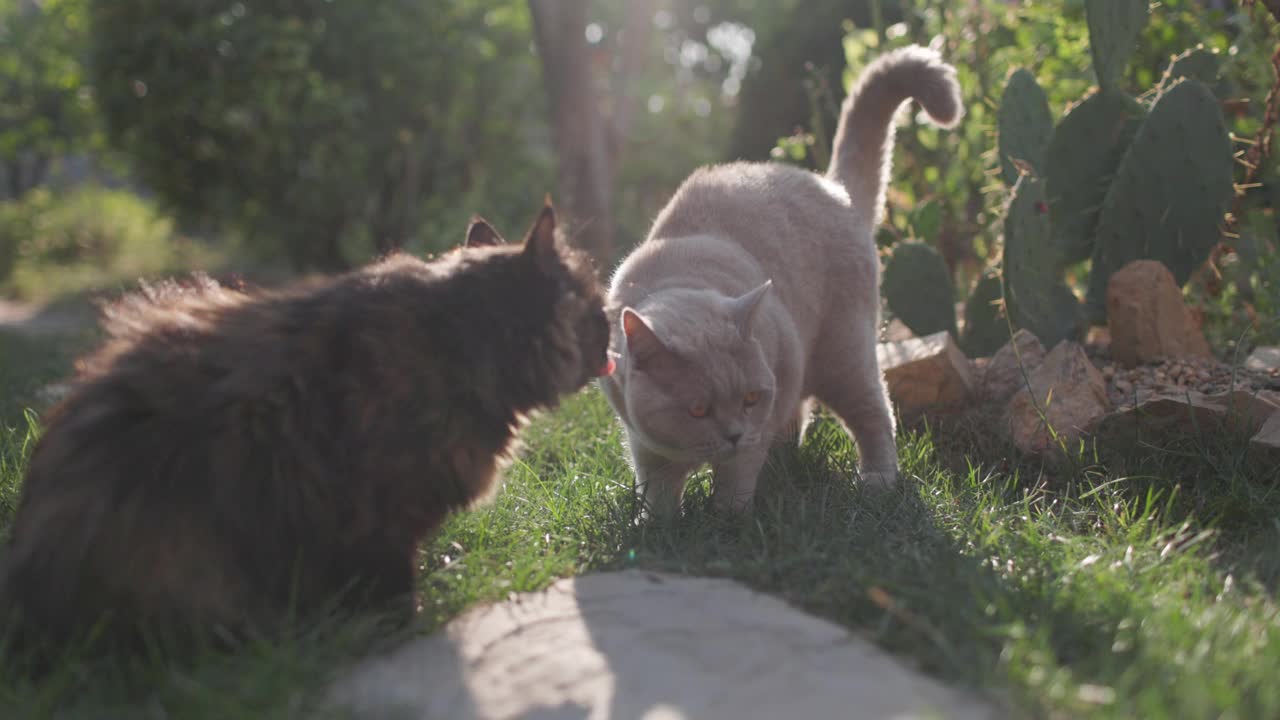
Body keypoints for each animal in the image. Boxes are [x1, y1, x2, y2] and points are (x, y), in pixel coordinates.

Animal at [0, 199, 609, 655]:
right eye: (595, 311)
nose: (610, 333)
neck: (461, 343)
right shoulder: (378, 517)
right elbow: (392, 586)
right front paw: (404, 624)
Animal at [599, 44, 962, 512]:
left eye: (750, 399)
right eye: (697, 410)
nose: (734, 434)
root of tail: (833, 187)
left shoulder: (754, 432)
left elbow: (735, 483)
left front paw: (726, 519)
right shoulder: (644, 444)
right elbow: (657, 489)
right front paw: (656, 524)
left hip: (844, 356)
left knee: (875, 415)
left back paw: (877, 482)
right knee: (799, 417)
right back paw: (786, 464)